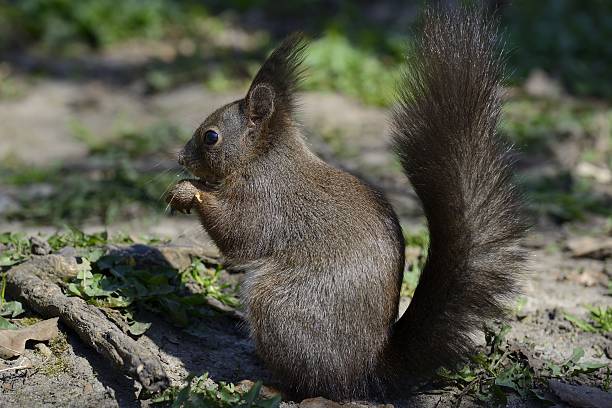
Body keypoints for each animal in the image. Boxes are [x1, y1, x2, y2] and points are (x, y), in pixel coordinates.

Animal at [166, 5, 524, 402]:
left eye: (211, 137)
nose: (181, 159)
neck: (263, 156)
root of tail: (365, 371)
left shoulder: (266, 198)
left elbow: (238, 235)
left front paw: (191, 191)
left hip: (280, 308)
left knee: (313, 385)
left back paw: (268, 386)